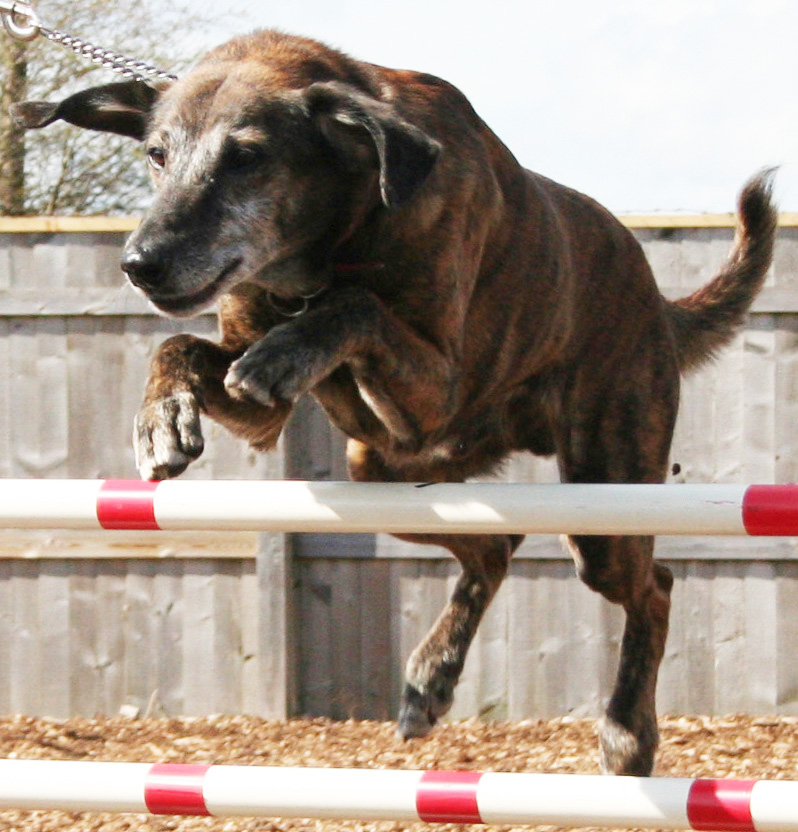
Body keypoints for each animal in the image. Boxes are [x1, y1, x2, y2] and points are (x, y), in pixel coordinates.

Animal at [10, 30, 776, 772]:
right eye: (156, 155)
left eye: (248, 158)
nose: (139, 263)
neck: (333, 235)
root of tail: (657, 303)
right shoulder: (270, 410)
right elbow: (179, 347)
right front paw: (161, 420)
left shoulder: (439, 383)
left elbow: (356, 306)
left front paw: (288, 350)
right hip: (384, 471)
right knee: (496, 545)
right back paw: (432, 677)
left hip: (603, 499)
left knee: (655, 584)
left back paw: (626, 731)